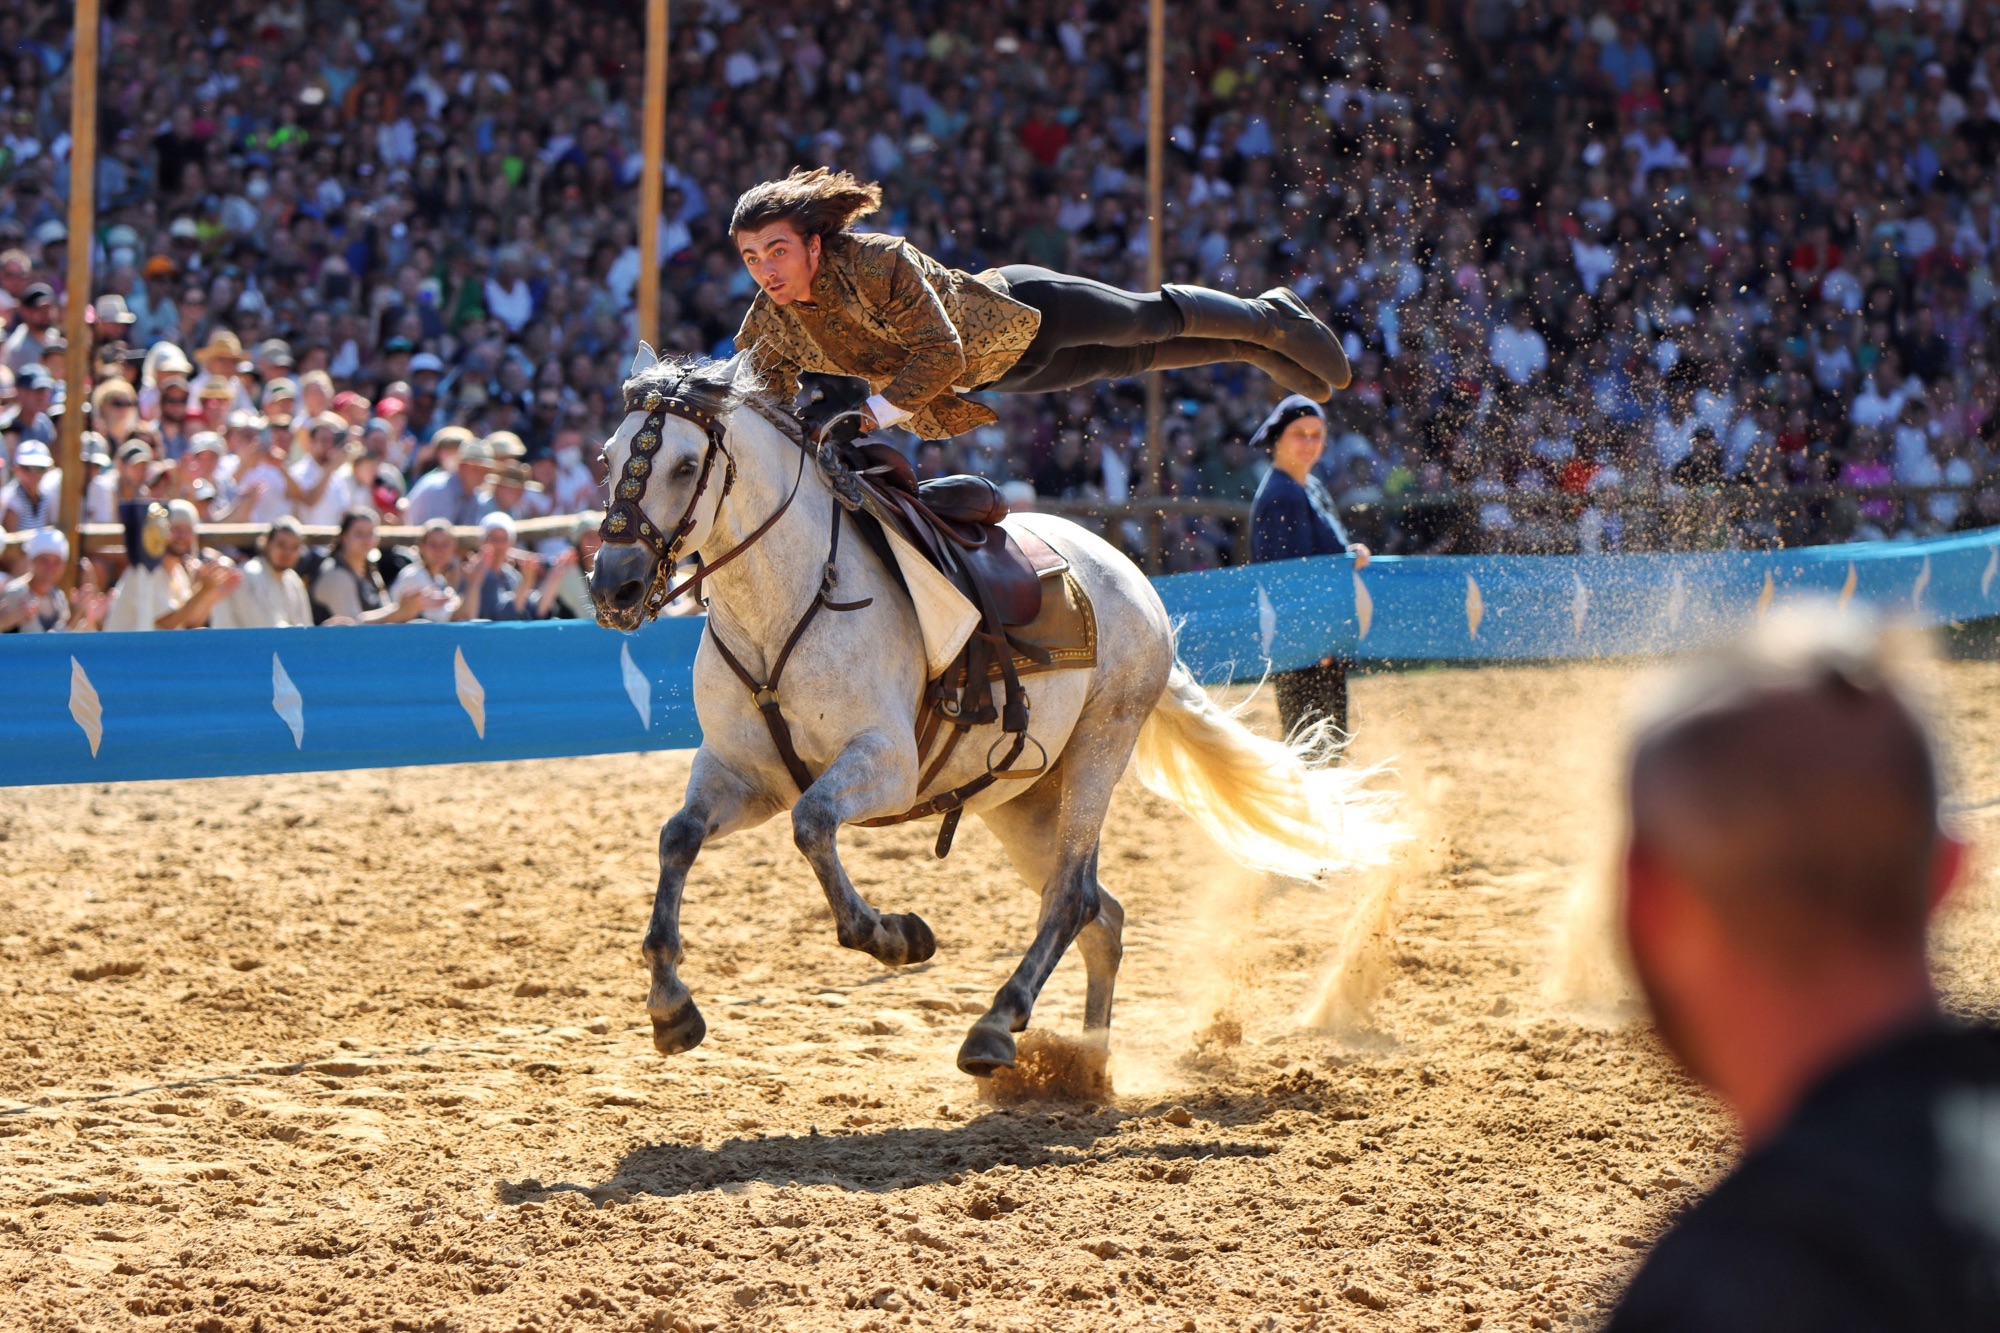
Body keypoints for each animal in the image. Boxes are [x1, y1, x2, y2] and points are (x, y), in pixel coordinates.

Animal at [587, 349, 1399, 1077]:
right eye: (606, 456)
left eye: (685, 465)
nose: (614, 586)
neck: (785, 605)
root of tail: (1135, 581)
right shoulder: (742, 774)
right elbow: (677, 837)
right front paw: (670, 1006)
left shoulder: (883, 765)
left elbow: (813, 827)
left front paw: (896, 935)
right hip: (1021, 801)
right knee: (1103, 916)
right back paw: (1085, 1064)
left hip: (1098, 753)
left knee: (1072, 899)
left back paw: (996, 1026)